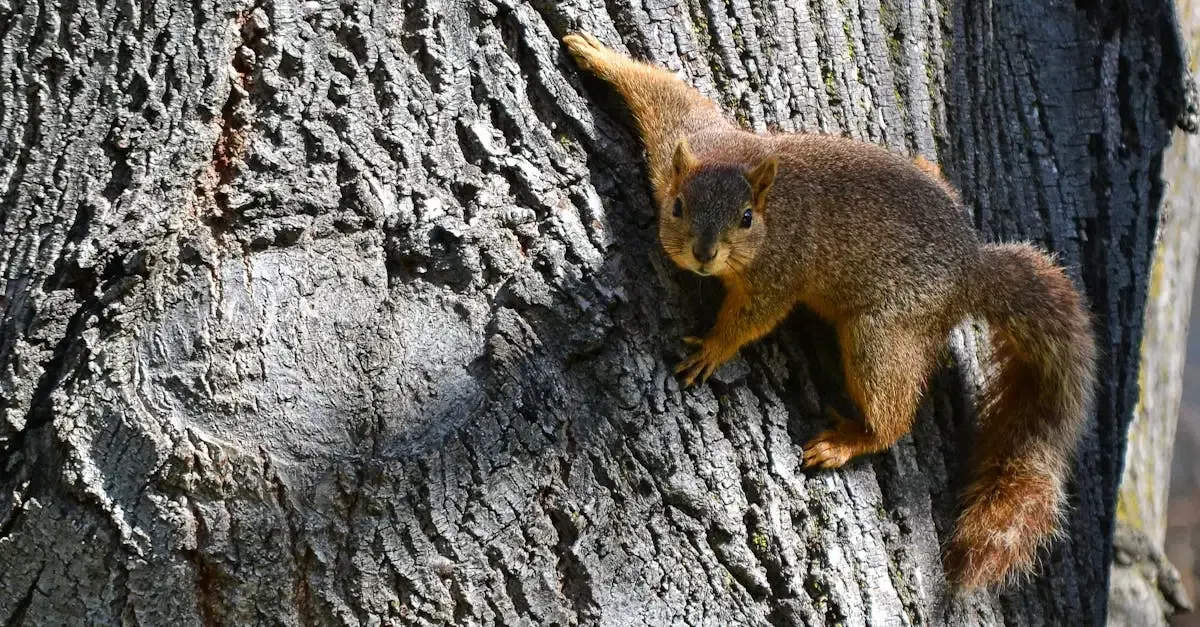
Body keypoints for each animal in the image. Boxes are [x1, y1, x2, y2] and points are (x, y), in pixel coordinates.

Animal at [562, 32, 1097, 589]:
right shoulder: (685, 139)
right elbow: (664, 93)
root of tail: (972, 270)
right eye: (679, 207)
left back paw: (851, 440)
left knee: (893, 411)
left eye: (746, 218)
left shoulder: (779, 272)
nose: (704, 254)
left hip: (882, 333)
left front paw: (712, 347)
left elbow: (755, 316)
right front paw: (594, 53)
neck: (771, 205)